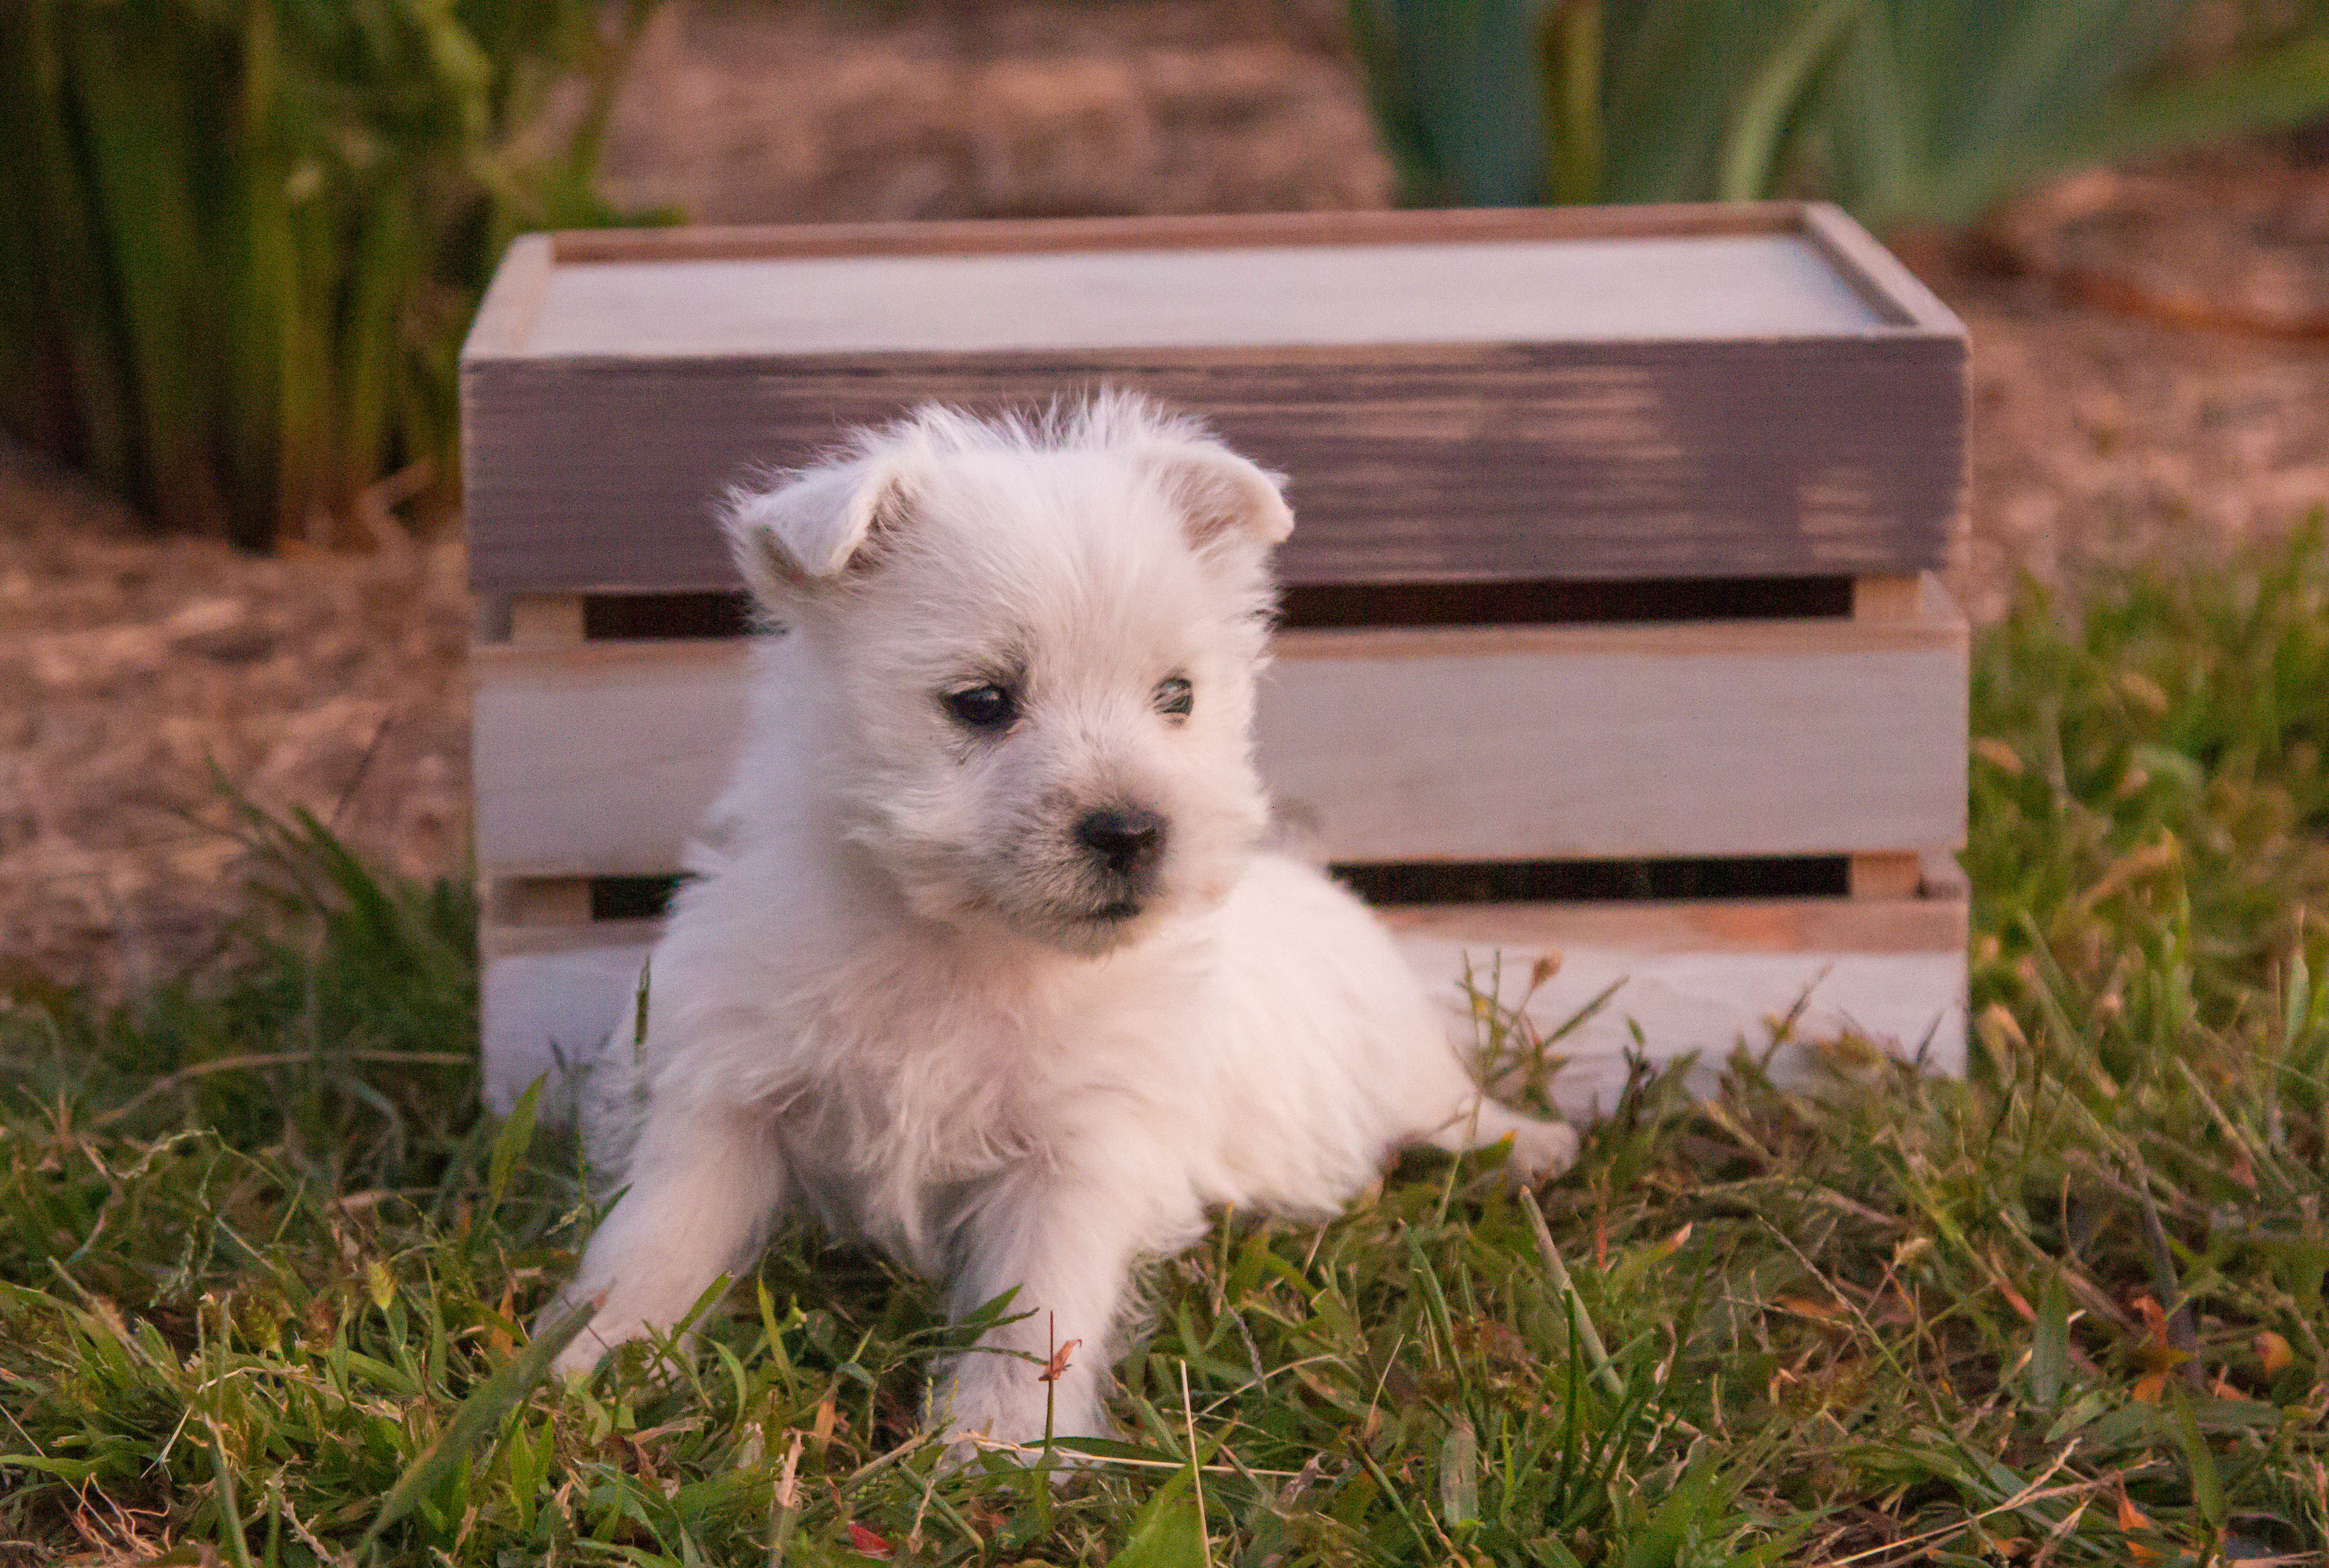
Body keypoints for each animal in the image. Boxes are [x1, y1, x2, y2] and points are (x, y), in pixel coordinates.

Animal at [535, 389, 1574, 1444]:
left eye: (1177, 696)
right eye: (982, 702)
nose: (1133, 830)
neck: (960, 945)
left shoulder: (1080, 1153)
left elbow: (1040, 1306)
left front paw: (994, 1447)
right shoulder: (729, 1089)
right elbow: (663, 1229)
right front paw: (594, 1359)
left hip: (1395, 1060)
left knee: (1453, 1104)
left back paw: (1534, 1145)